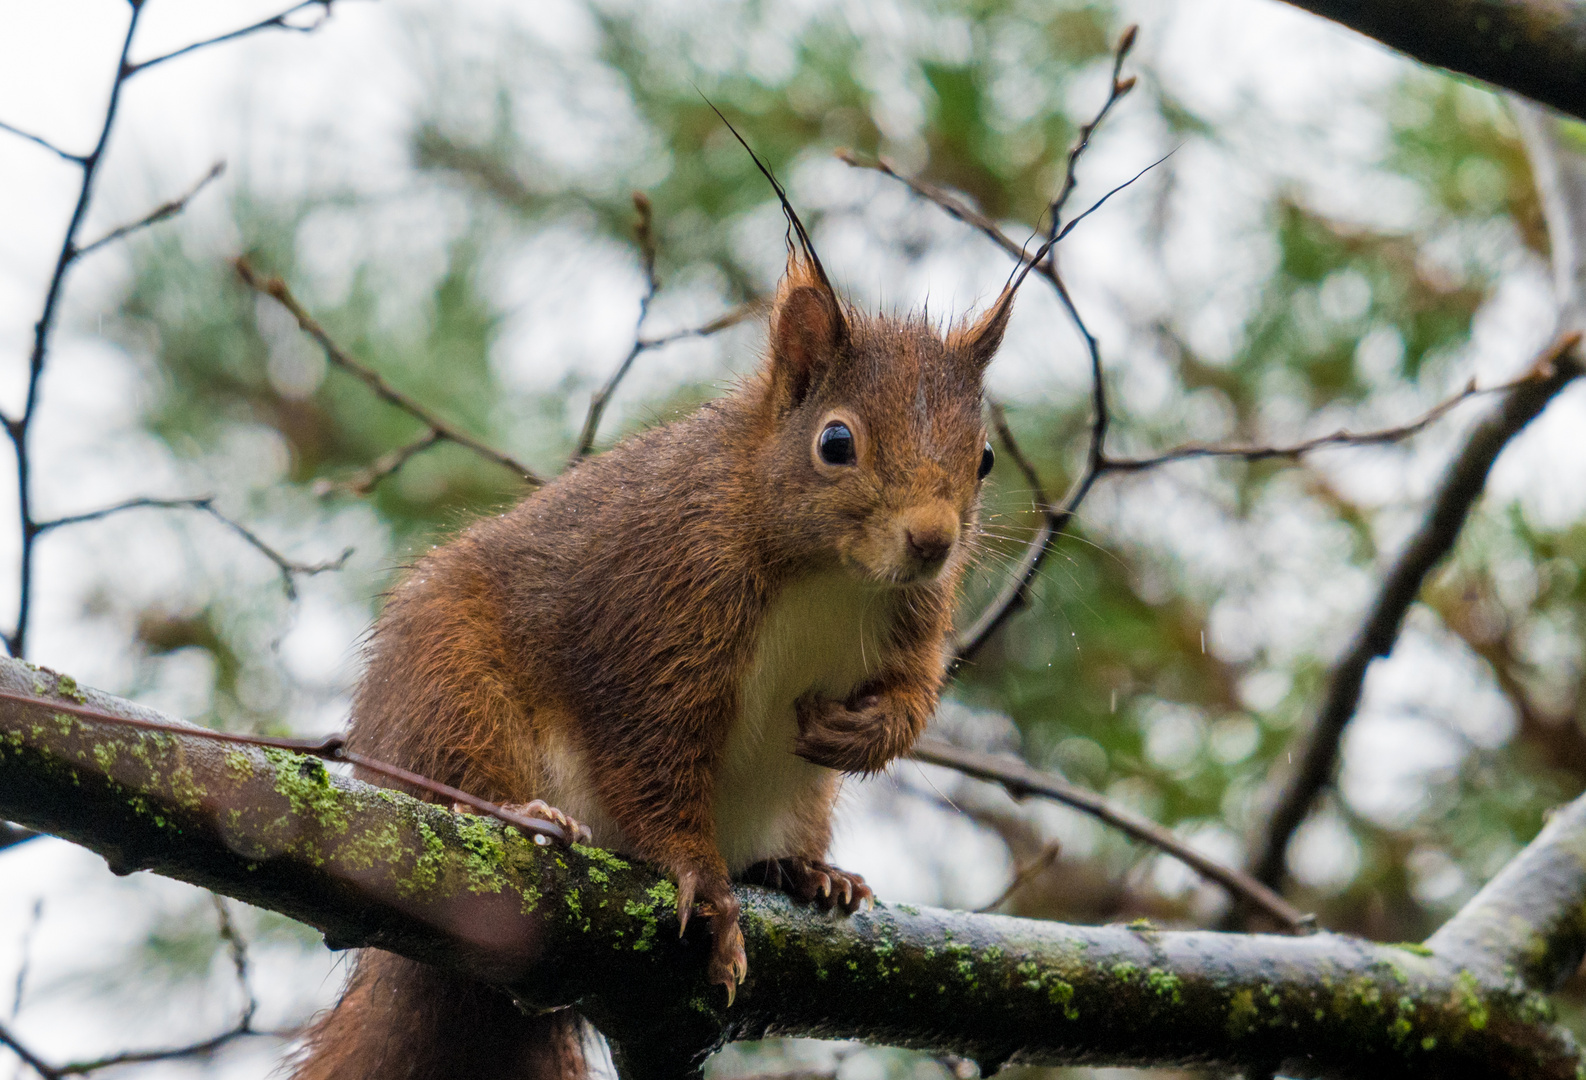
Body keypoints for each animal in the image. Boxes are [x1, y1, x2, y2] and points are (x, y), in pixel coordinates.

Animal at [294, 191, 1015, 1072]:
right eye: (836, 442)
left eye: (985, 457)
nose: (934, 540)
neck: (830, 573)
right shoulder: (663, 607)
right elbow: (650, 756)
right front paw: (702, 883)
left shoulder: (917, 614)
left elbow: (913, 691)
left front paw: (864, 732)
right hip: (453, 692)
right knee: (463, 775)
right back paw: (527, 815)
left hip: (800, 801)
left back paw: (806, 872)